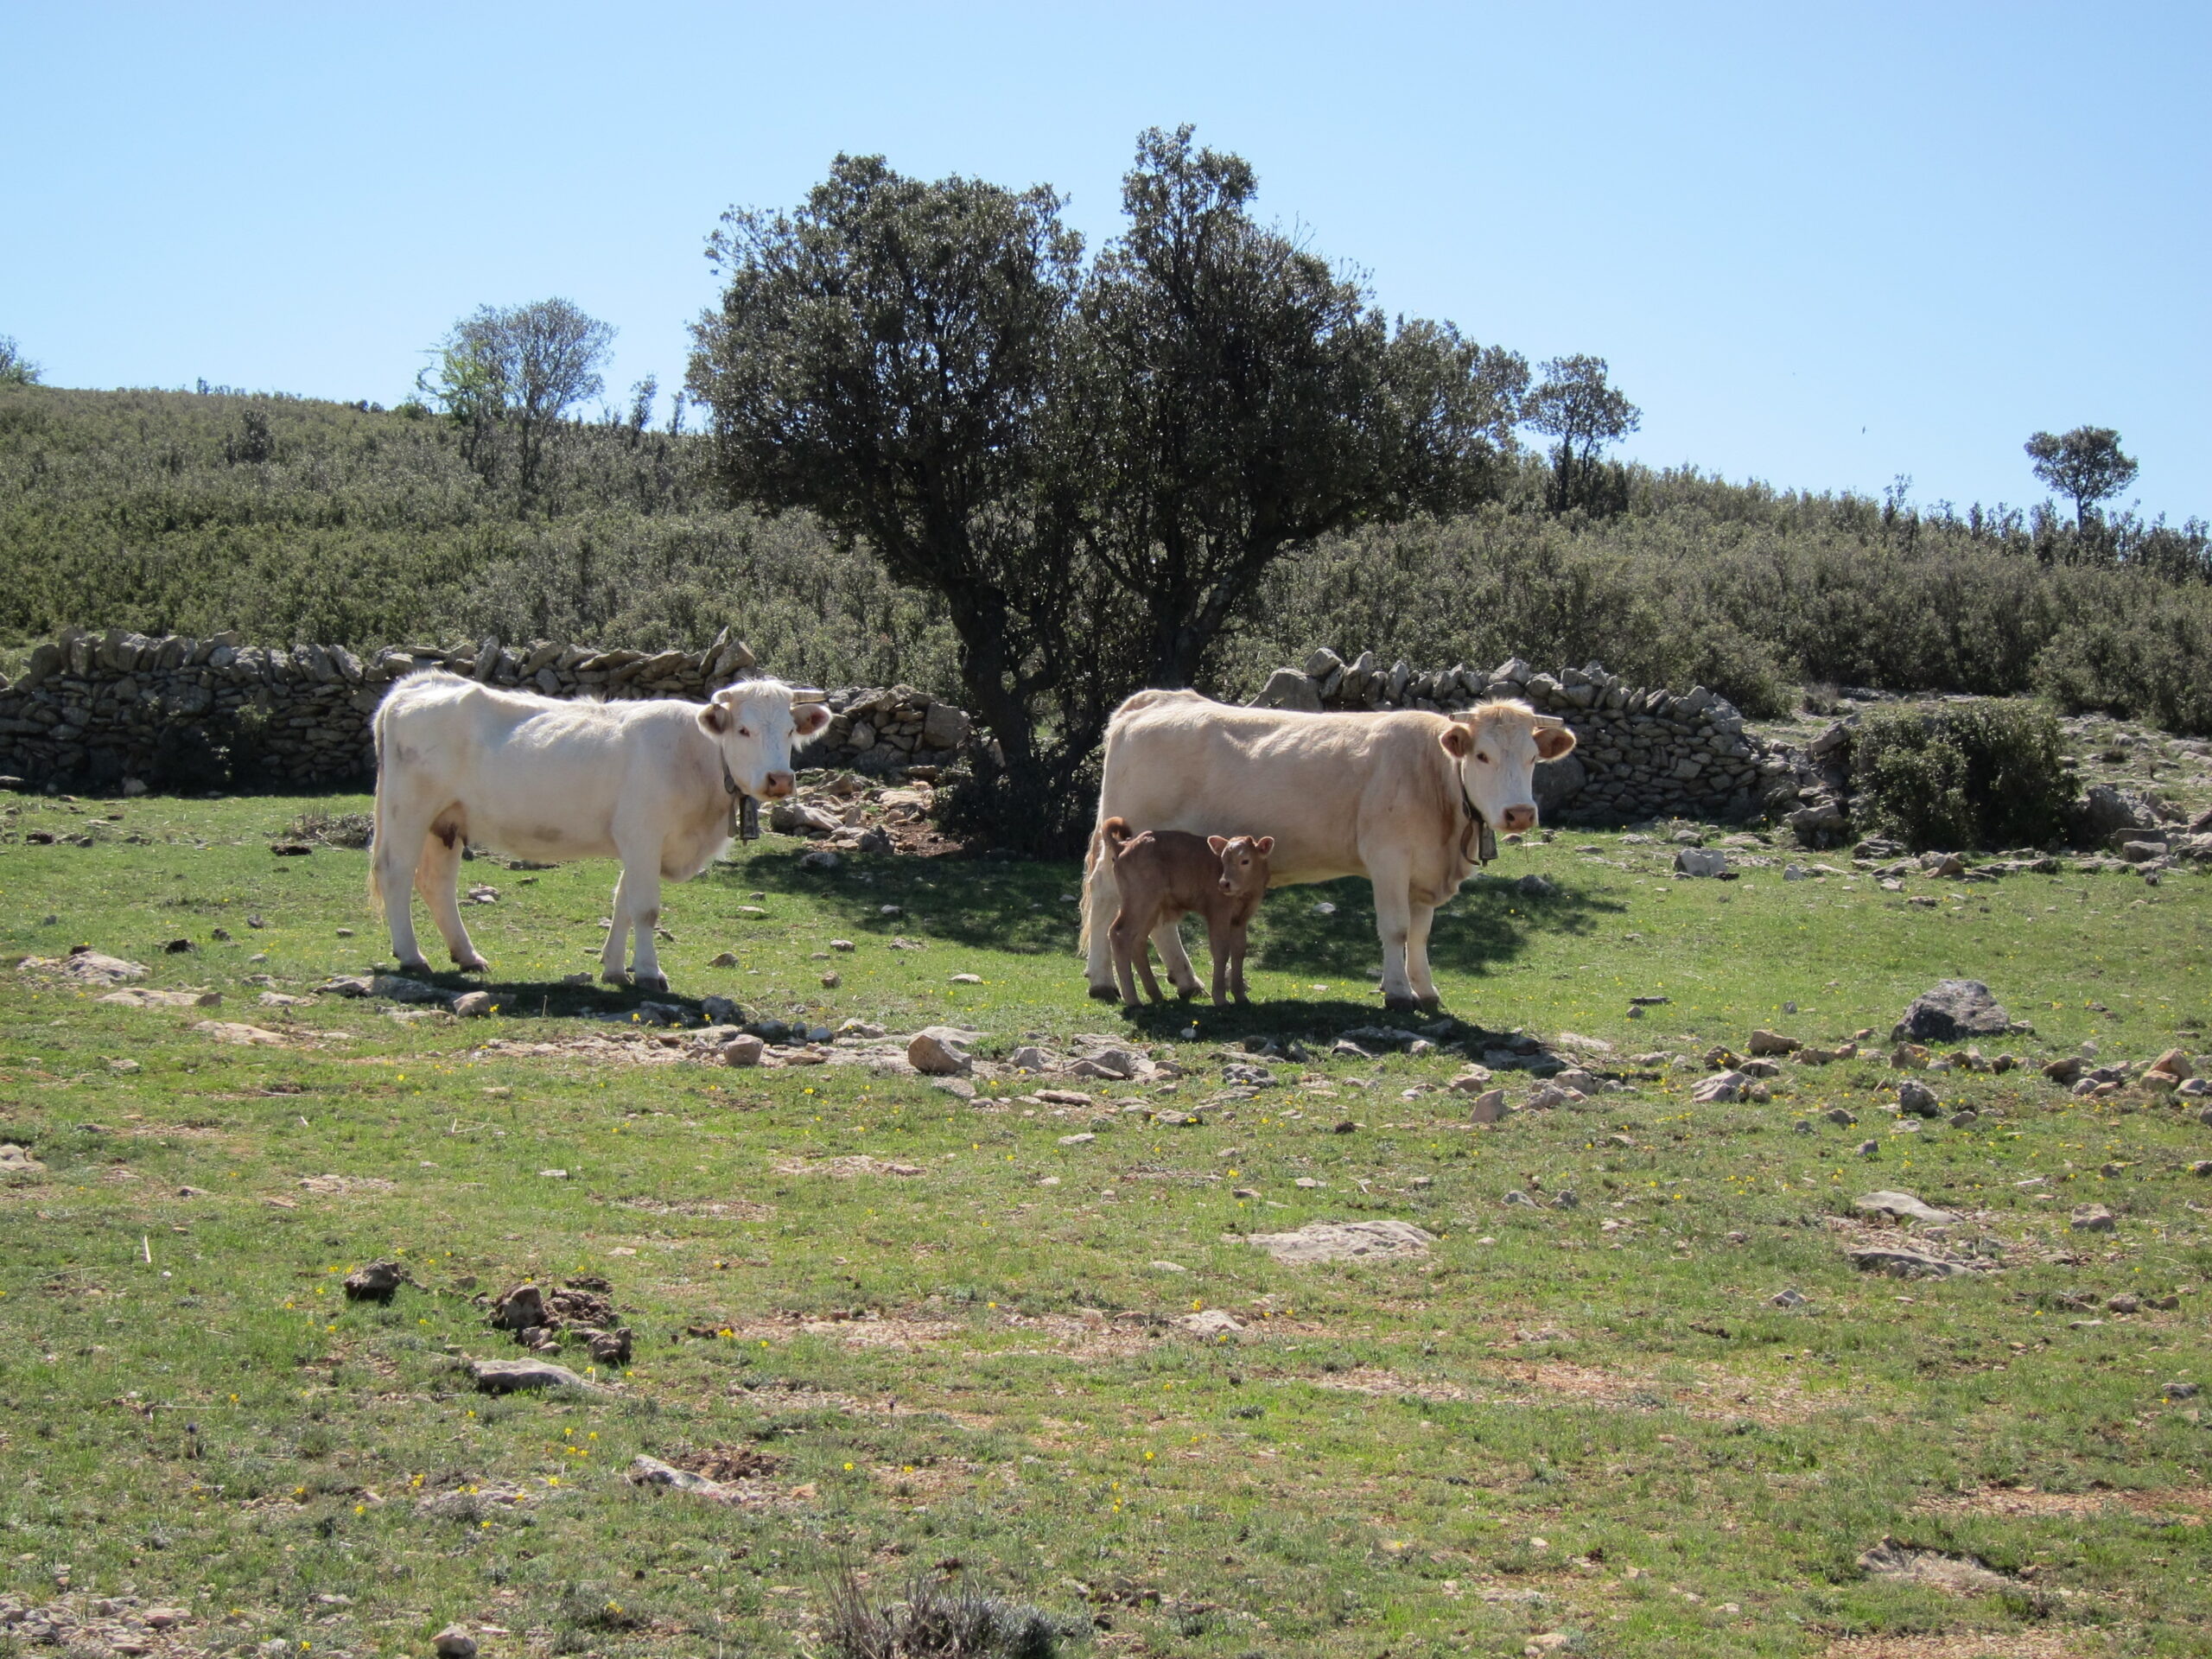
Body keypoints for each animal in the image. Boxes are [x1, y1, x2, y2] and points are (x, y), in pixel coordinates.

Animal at [366, 672, 827, 986]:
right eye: (744, 730)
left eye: (790, 730)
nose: (779, 779)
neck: (699, 760)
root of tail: (422, 683)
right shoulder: (642, 834)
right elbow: (644, 908)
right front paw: (649, 972)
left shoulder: (639, 843)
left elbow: (622, 901)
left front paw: (615, 969)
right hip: (410, 809)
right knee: (396, 872)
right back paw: (412, 956)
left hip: (447, 821)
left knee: (437, 883)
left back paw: (467, 955)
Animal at [1096, 818, 1274, 1013]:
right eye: (1223, 860)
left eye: (1245, 861)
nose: (1224, 883)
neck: (1245, 893)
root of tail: (1125, 845)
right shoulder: (1218, 913)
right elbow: (1220, 951)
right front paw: (1220, 998)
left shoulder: (1241, 918)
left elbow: (1239, 951)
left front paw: (1241, 996)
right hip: (1139, 901)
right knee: (1120, 933)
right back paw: (1133, 1000)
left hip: (1151, 907)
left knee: (1138, 940)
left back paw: (1156, 995)